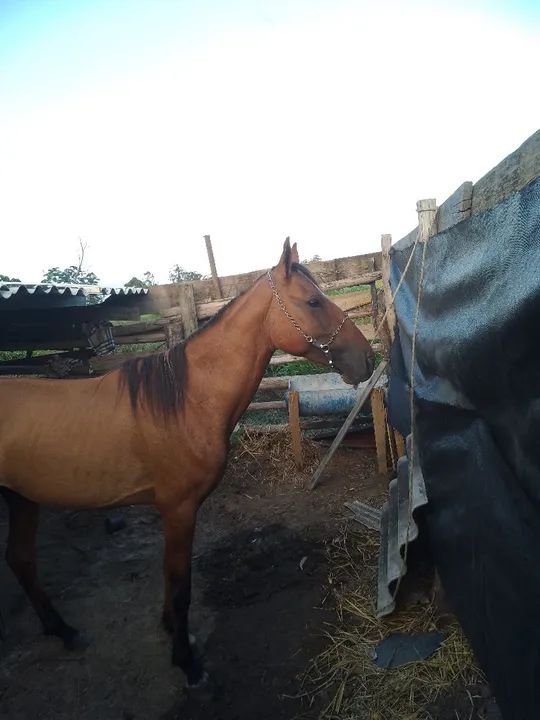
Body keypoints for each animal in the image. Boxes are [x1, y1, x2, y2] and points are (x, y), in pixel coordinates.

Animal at [0, 239, 375, 689]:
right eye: (314, 301)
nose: (368, 359)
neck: (187, 401)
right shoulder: (178, 510)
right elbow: (180, 587)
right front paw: (187, 661)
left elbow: (171, 581)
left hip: (22, 499)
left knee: (21, 560)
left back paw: (64, 631)